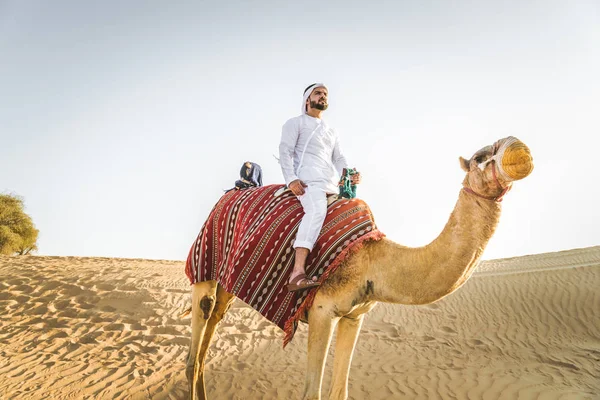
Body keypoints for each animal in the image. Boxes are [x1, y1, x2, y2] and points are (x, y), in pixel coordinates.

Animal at [184, 136, 536, 398]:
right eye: (479, 156)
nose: (520, 148)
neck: (373, 260)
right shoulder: (322, 310)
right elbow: (312, 394)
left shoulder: (354, 316)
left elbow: (339, 392)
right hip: (205, 263)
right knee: (197, 340)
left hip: (229, 281)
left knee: (208, 337)